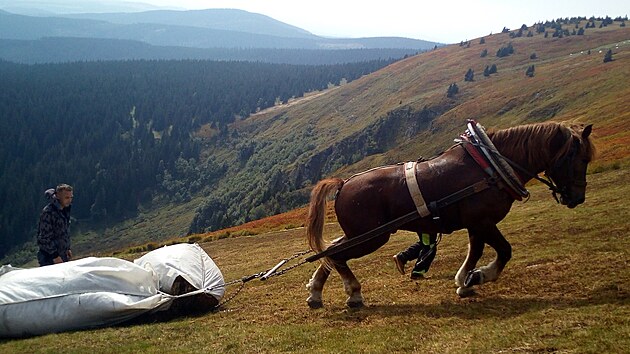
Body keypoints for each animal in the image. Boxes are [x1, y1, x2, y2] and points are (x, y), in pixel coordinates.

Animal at [306, 121, 596, 306]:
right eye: (582, 159)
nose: (577, 198)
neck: (489, 168)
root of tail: (343, 184)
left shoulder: (476, 224)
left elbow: (477, 251)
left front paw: (465, 281)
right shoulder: (483, 221)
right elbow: (504, 250)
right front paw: (480, 276)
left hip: (360, 234)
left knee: (331, 251)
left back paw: (317, 291)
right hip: (371, 237)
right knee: (336, 254)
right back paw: (353, 292)